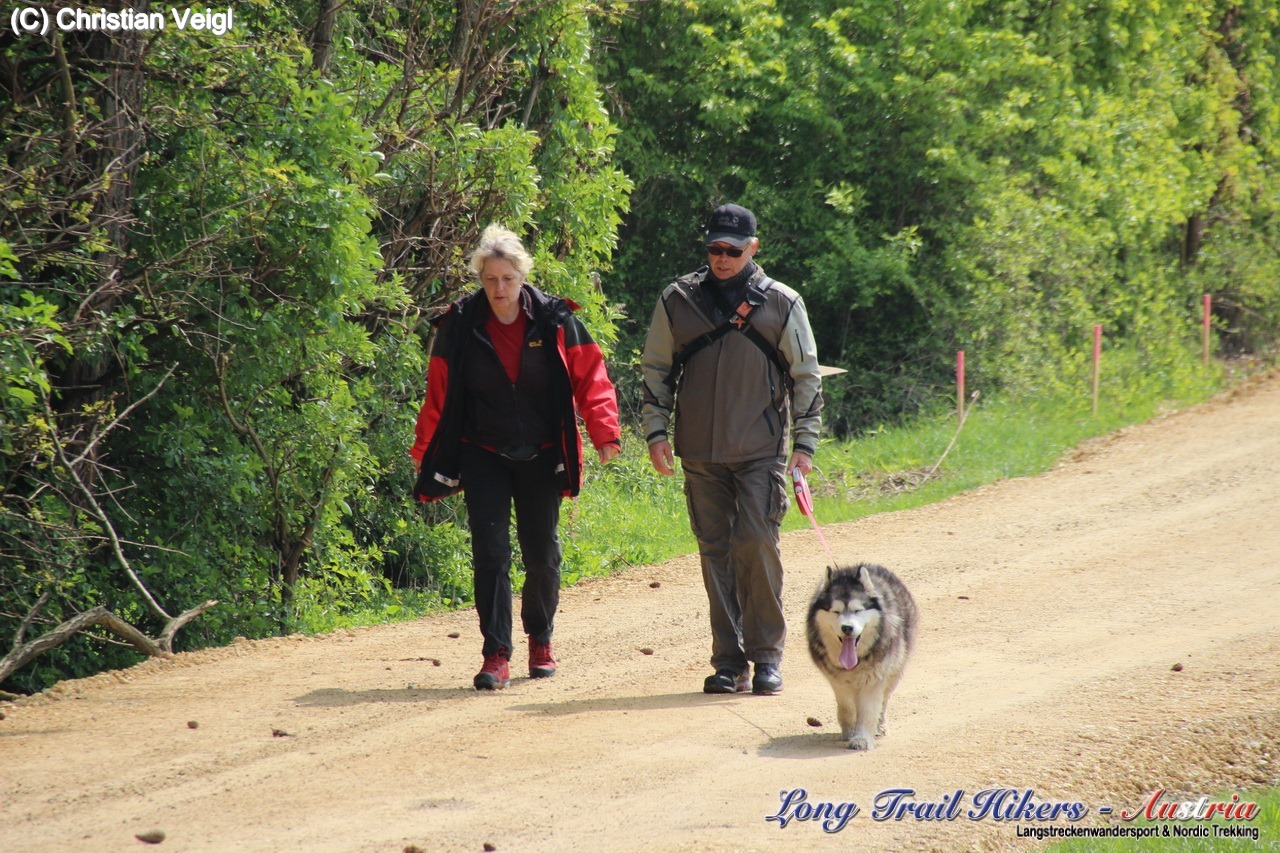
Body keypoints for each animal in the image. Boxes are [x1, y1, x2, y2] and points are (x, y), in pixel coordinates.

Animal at [806, 563, 917, 750]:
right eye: (836, 611)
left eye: (858, 610)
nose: (847, 628)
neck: (854, 663)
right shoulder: (838, 681)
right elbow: (847, 707)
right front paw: (850, 731)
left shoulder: (874, 679)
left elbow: (868, 710)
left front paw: (862, 738)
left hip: (894, 671)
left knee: (884, 700)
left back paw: (880, 726)